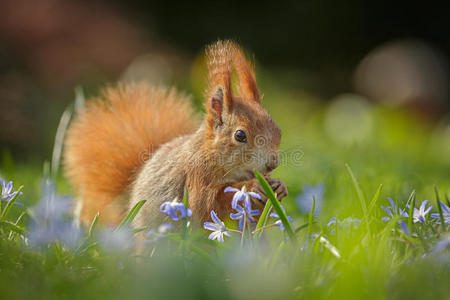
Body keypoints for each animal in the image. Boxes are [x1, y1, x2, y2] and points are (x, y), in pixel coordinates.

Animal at [63, 39, 288, 227]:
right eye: (240, 135)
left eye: (278, 130)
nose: (272, 164)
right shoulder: (197, 175)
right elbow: (206, 206)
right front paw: (253, 188)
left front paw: (279, 187)